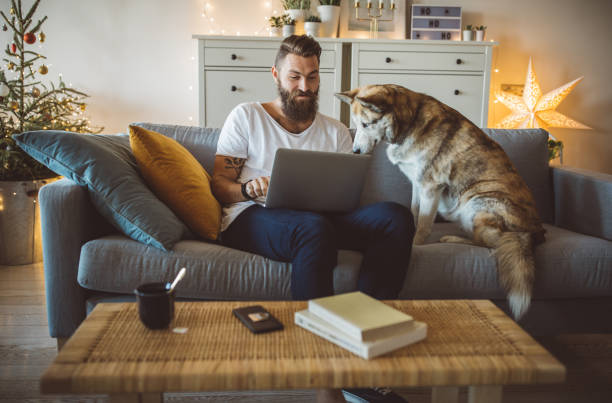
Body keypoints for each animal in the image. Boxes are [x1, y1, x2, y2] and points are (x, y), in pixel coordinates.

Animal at [334, 84, 544, 318]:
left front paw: (415, 245)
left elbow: (423, 226)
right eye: (356, 125)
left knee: (489, 244)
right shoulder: (416, 185)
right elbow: (414, 214)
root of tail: (533, 232)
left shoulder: (429, 187)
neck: (409, 123)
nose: (355, 152)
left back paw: (452, 238)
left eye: (366, 124)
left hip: (477, 202)